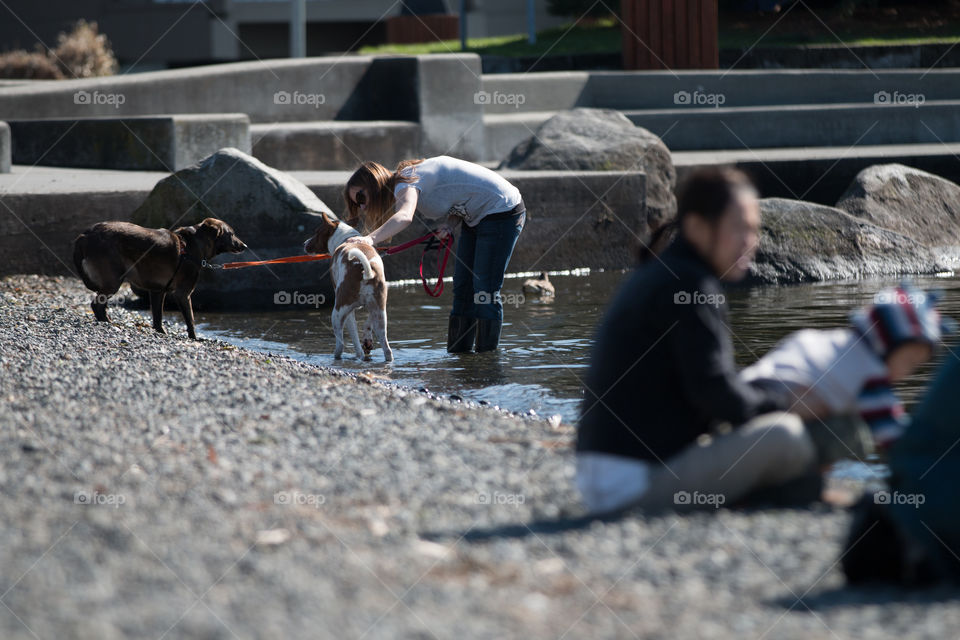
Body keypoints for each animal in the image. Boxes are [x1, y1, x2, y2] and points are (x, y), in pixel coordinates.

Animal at [75, 219, 248, 340]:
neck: (193, 245)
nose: (245, 246)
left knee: (100, 304)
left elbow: (158, 318)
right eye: (231, 233)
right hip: (114, 281)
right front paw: (195, 338)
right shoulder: (183, 294)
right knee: (96, 304)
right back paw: (108, 322)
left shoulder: (157, 291)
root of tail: (85, 235)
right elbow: (190, 320)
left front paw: (161, 332)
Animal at [300, 214, 390, 360]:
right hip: (380, 313)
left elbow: (354, 337)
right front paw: (367, 338)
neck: (346, 238)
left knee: (341, 345)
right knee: (387, 349)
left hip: (337, 313)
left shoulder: (349, 312)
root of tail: (365, 270)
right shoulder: (376, 308)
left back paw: (337, 356)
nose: (304, 243)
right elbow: (367, 324)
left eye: (316, 232)